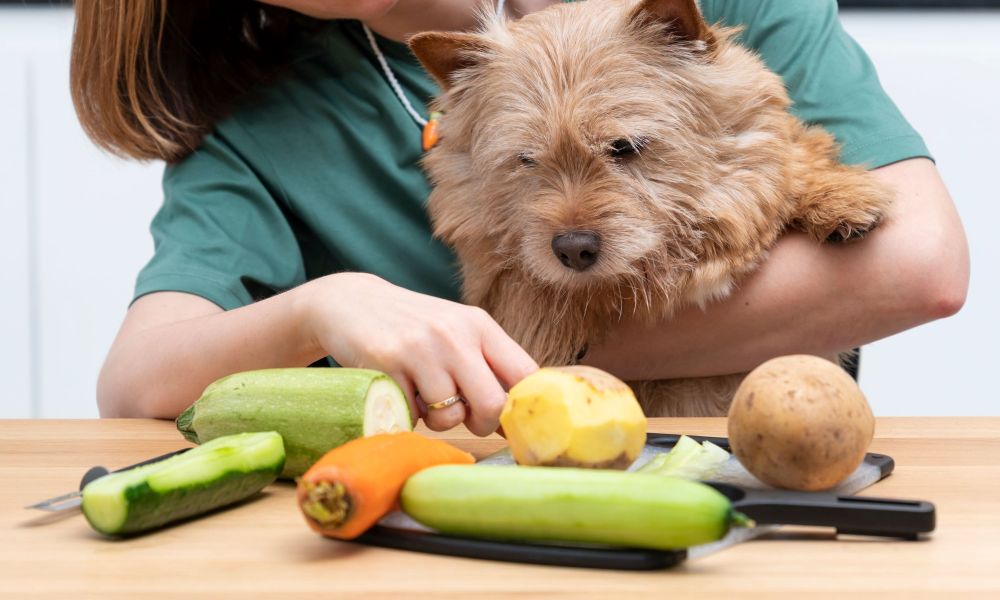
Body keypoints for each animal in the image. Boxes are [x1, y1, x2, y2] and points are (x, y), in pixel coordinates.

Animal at [408, 0, 892, 418]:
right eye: (526, 159)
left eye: (624, 147)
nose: (573, 249)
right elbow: (519, 284)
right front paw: (545, 320)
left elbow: (796, 154)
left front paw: (840, 195)